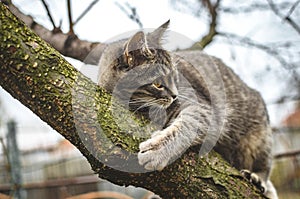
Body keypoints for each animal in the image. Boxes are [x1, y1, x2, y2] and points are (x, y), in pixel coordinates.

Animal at [97, 21, 278, 198]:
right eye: (158, 84)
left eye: (176, 77)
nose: (175, 95)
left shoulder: (205, 109)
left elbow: (185, 126)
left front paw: (158, 149)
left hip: (257, 140)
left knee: (264, 168)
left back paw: (257, 178)